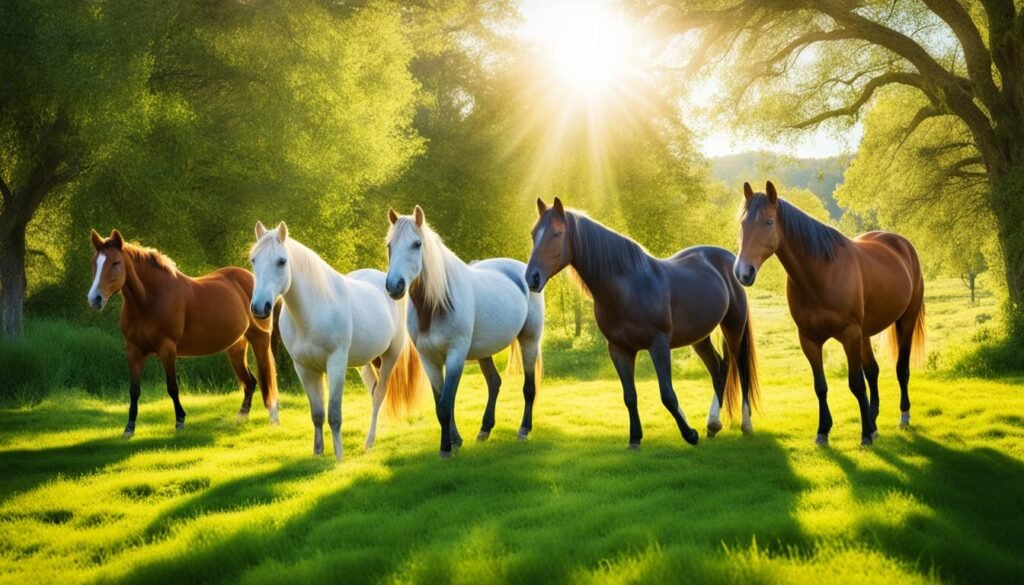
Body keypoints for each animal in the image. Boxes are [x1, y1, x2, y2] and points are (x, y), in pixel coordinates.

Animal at [87, 229, 279, 438]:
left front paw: (180, 420)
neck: (149, 299)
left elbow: (172, 387)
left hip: (259, 340)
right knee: (250, 382)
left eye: (116, 262)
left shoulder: (167, 348)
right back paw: (241, 417)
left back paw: (272, 416)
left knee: (265, 379)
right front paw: (129, 427)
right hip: (236, 347)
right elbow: (134, 390)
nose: (94, 299)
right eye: (94, 262)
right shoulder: (134, 351)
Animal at [249, 221, 424, 461]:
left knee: (379, 395)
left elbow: (334, 414)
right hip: (365, 363)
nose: (260, 307)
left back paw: (369, 442)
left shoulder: (336, 363)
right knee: (372, 391)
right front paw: (317, 453)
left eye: (281, 261)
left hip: (390, 355)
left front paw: (339, 457)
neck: (312, 311)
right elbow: (317, 413)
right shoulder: (304, 368)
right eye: (253, 260)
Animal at [385, 206, 545, 458]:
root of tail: (523, 272)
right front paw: (455, 441)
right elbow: (441, 403)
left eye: (417, 244)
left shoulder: (455, 356)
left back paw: (523, 430)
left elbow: (445, 405)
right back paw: (484, 430)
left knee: (529, 387)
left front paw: (446, 449)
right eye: (389, 245)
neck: (436, 305)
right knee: (494, 382)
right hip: (485, 351)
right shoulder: (429, 360)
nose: (394, 286)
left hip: (529, 340)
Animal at [526, 197, 760, 449]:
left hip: (734, 328)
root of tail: (730, 260)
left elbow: (667, 395)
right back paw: (713, 424)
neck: (629, 286)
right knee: (719, 369)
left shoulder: (658, 345)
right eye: (534, 233)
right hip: (700, 337)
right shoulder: (619, 349)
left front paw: (690, 434)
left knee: (741, 369)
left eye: (556, 233)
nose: (532, 278)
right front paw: (635, 439)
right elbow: (630, 396)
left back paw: (746, 426)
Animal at [734, 181, 925, 447]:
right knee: (873, 372)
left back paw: (903, 417)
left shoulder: (850, 335)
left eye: (769, 222)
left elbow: (856, 384)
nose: (743, 272)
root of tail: (901, 243)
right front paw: (823, 431)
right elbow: (821, 386)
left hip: (905, 321)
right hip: (865, 334)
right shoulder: (809, 340)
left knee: (901, 370)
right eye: (743, 223)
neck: (822, 273)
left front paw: (865, 434)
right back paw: (874, 420)